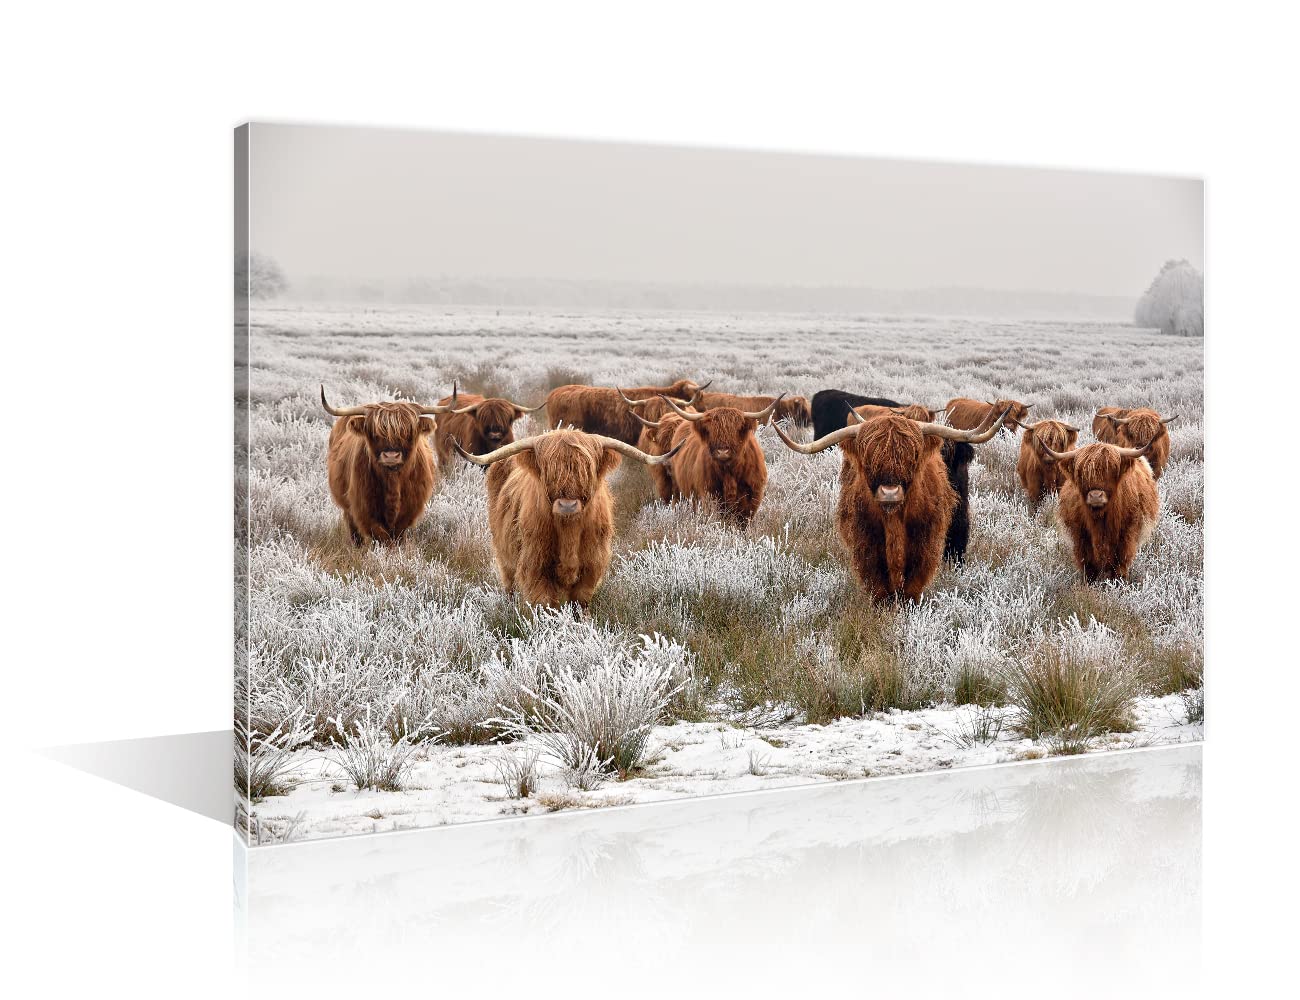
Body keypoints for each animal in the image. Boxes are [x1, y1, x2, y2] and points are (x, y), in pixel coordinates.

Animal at [320, 386, 457, 545]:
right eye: (374, 432)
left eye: (408, 432)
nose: (391, 456)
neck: (393, 481)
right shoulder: (364, 509)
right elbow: (381, 536)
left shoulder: (409, 511)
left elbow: (397, 536)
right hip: (347, 508)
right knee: (355, 533)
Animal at [453, 429, 682, 607]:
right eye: (549, 471)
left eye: (586, 470)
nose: (567, 505)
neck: (568, 532)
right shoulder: (536, 566)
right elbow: (545, 604)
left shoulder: (591, 567)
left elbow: (579, 603)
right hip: (505, 556)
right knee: (509, 584)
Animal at [641, 394, 783, 525]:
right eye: (710, 431)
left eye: (736, 430)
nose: (722, 451)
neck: (729, 473)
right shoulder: (709, 496)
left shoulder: (751, 499)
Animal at [773, 407, 1009, 600]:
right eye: (868, 459)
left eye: (912, 456)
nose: (890, 492)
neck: (893, 520)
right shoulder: (866, 543)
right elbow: (878, 585)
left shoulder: (925, 542)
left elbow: (913, 583)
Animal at [1042, 437, 1161, 582]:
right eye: (1081, 473)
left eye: (1112, 470)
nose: (1095, 496)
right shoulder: (1080, 536)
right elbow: (1088, 564)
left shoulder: (1127, 534)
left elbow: (1121, 563)